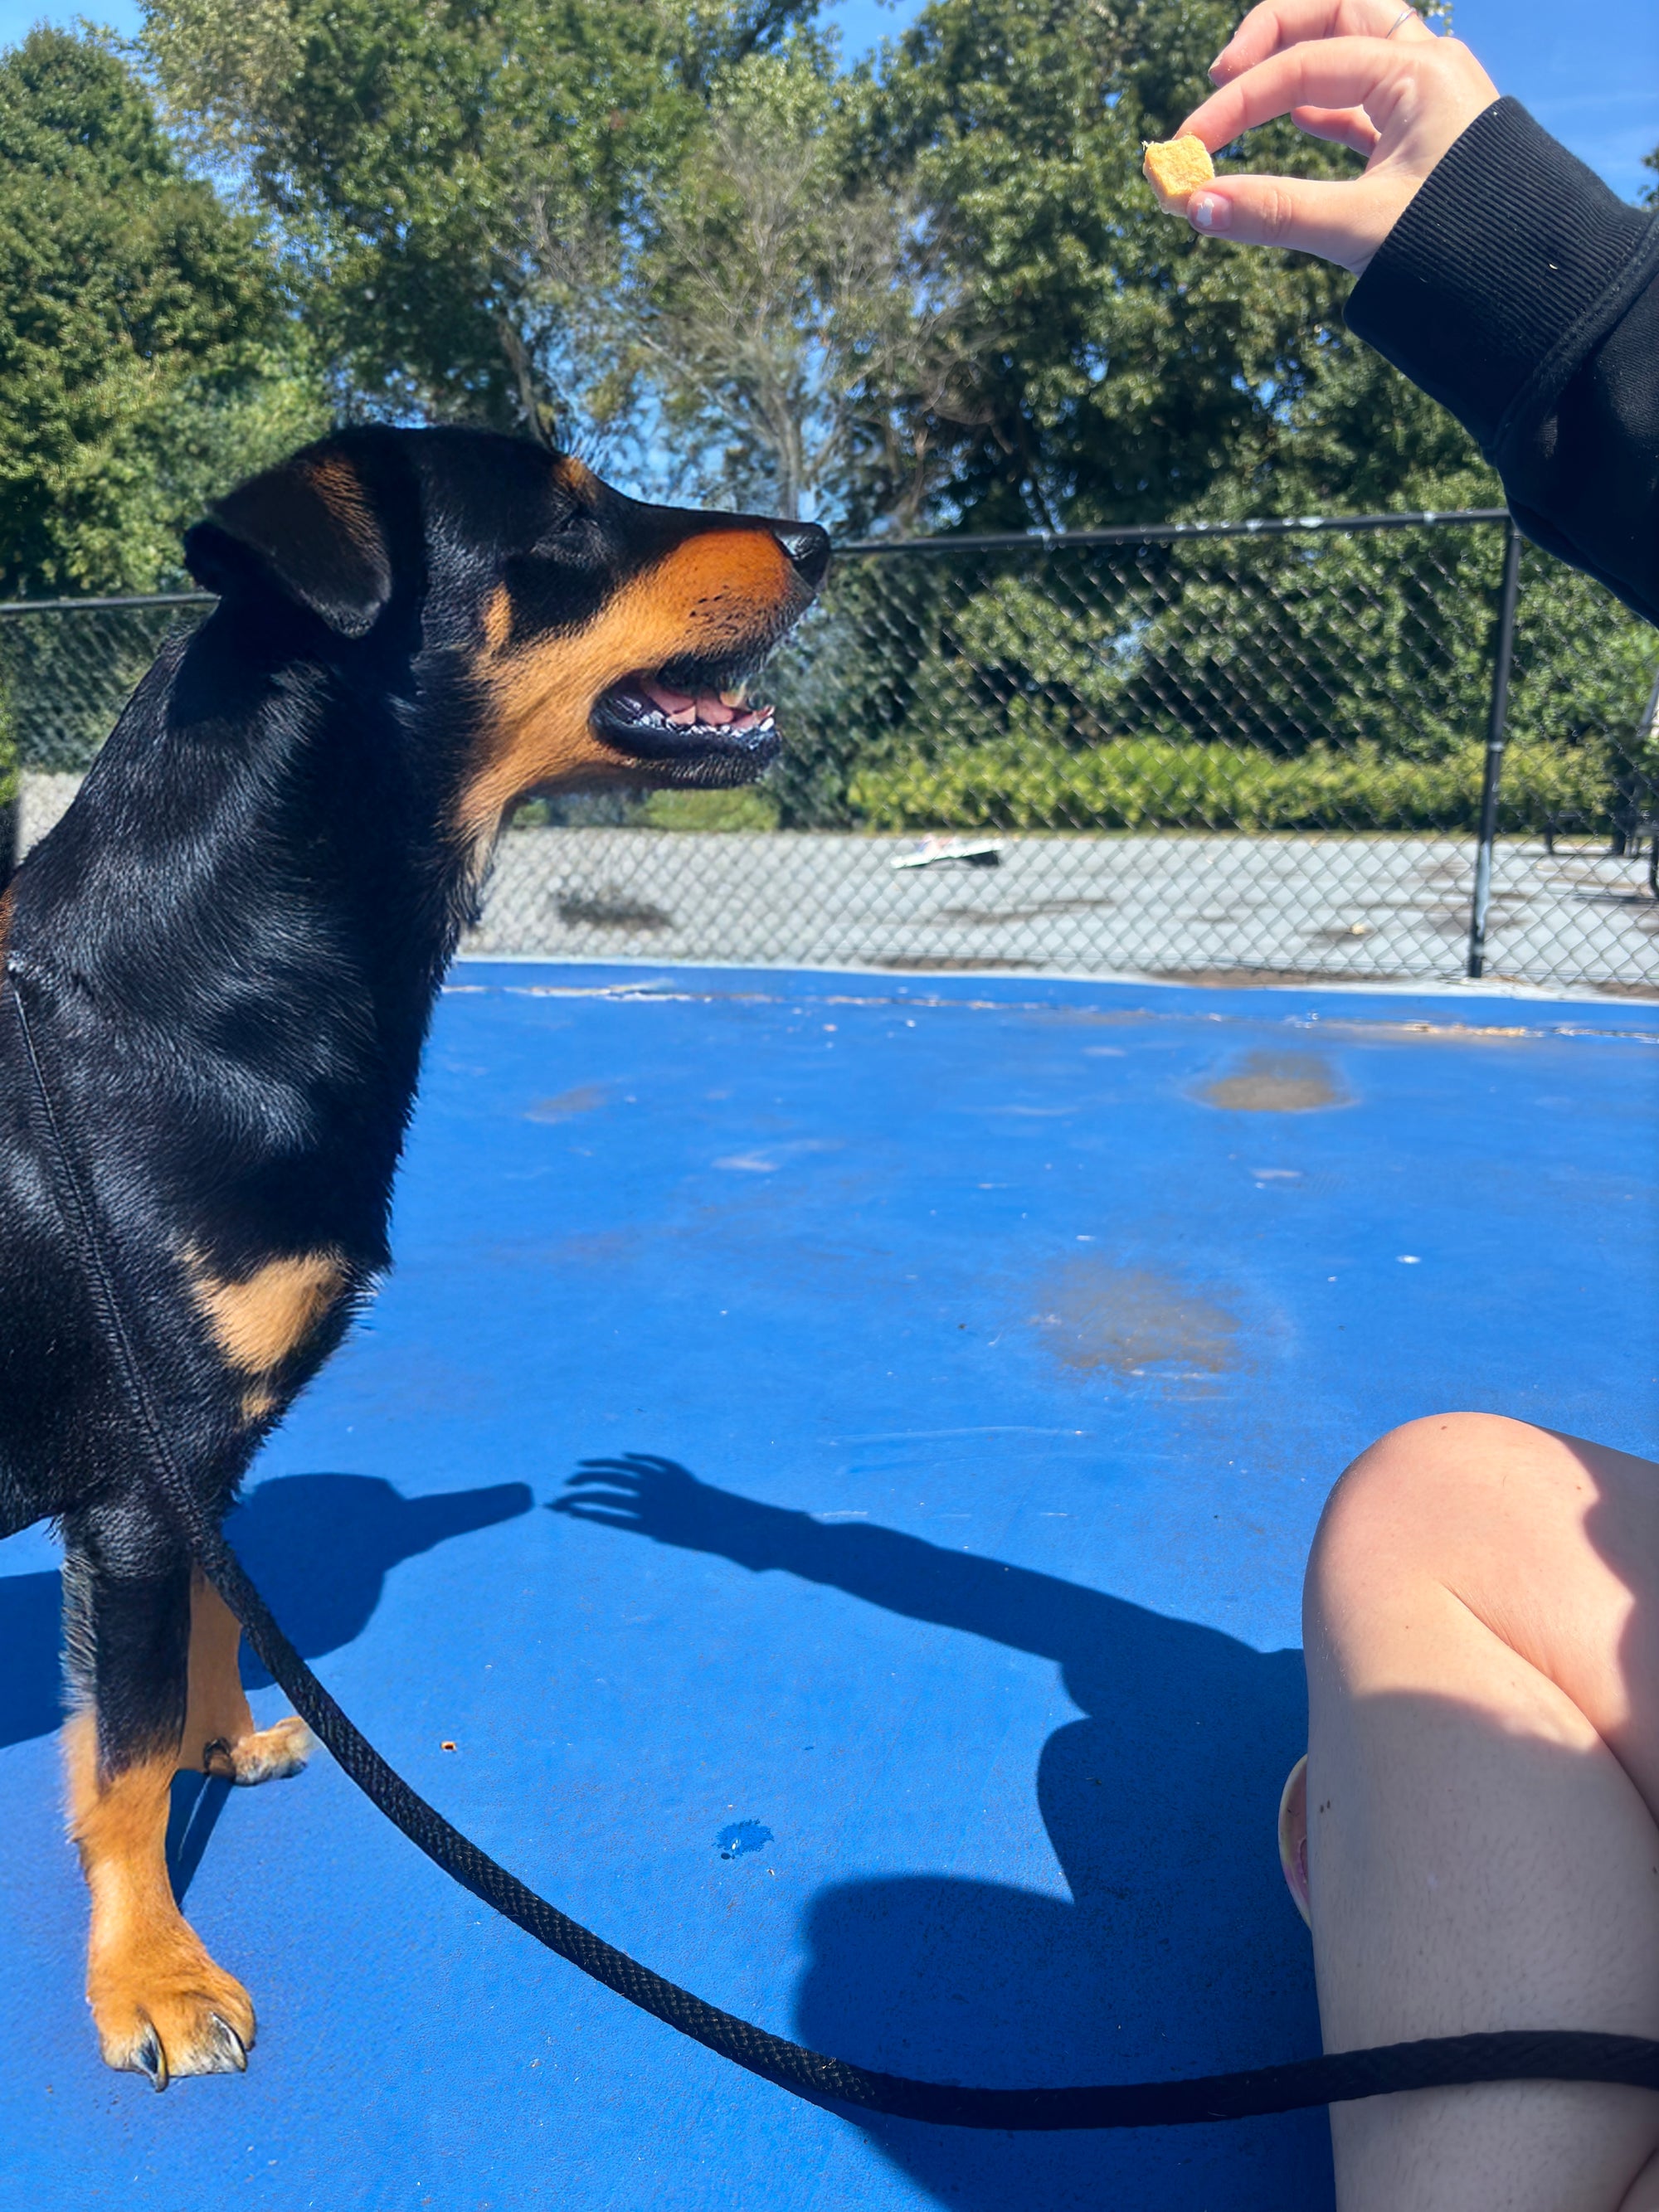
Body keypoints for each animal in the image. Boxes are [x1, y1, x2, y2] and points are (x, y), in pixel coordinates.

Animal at [0, 422, 831, 2078]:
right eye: (567, 517)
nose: (822, 539)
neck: (180, 1002)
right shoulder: (136, 1479)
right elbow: (120, 1759)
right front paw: (152, 1973)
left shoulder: (205, 1467)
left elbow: (213, 1631)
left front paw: (224, 1738)